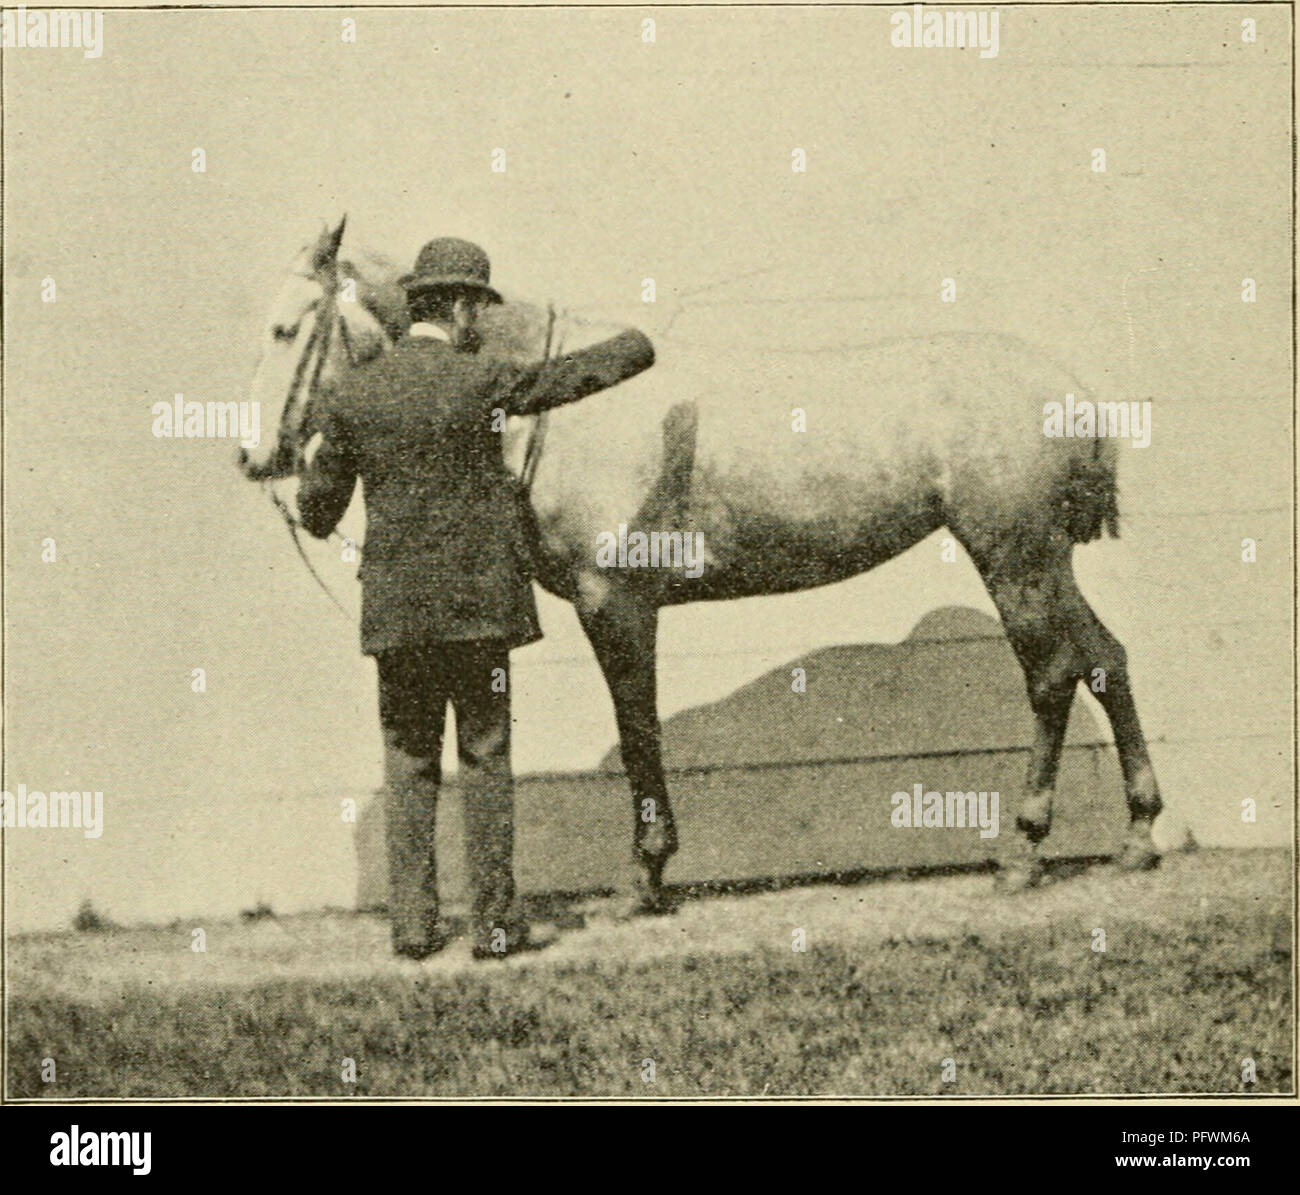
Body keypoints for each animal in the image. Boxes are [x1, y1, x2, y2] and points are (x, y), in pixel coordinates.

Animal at [239, 218, 1163, 907]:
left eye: (286, 327)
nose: (253, 457)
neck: (558, 408)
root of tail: (1073, 393)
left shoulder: (615, 601)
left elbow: (638, 729)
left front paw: (645, 875)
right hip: (1045, 562)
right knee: (1106, 659)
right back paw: (1139, 834)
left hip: (1013, 556)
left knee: (1051, 675)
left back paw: (1024, 851)